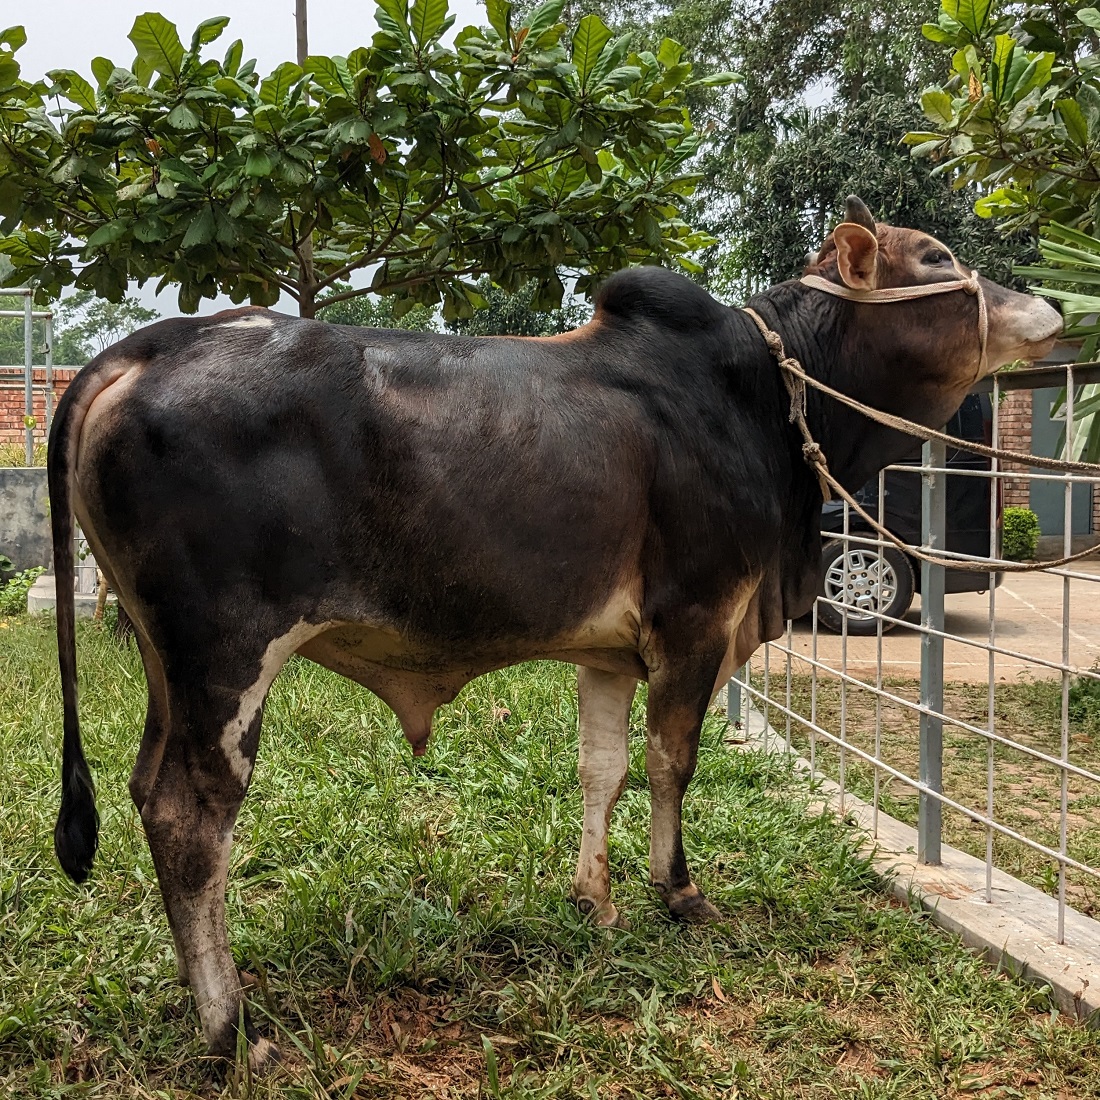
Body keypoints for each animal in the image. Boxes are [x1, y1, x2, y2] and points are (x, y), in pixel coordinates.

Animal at [47, 200, 1060, 1064]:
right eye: (934, 257)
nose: (1049, 308)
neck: (768, 399)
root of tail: (151, 345)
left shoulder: (607, 652)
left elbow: (601, 769)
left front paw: (595, 900)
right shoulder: (696, 620)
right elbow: (670, 764)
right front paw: (679, 894)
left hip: (165, 663)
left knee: (147, 790)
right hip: (225, 657)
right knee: (191, 817)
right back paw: (231, 1029)